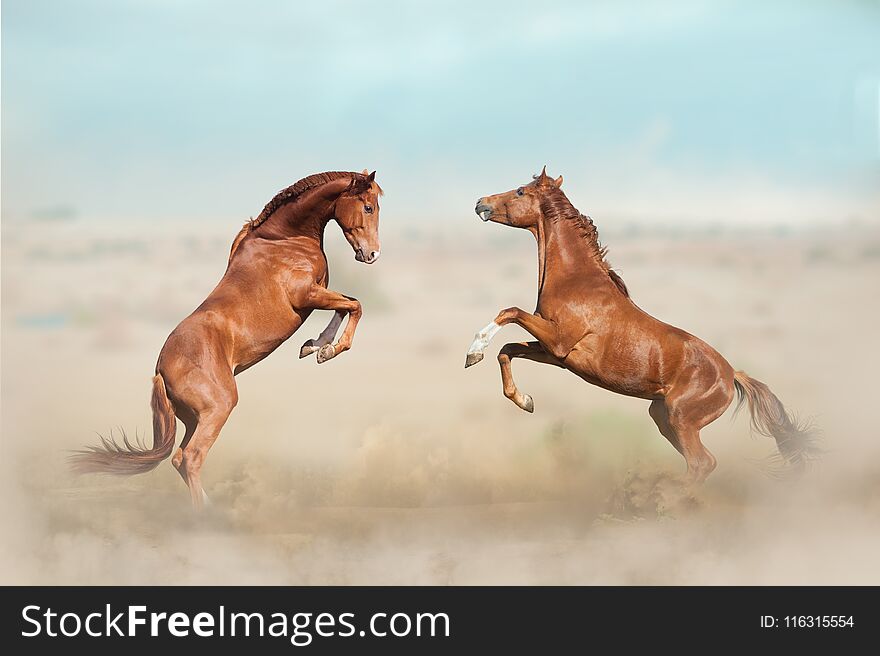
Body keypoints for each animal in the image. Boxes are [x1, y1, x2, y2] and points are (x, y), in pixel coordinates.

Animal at [69, 169, 382, 508]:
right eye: (368, 207)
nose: (372, 254)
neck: (285, 239)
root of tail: (160, 372)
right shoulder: (307, 295)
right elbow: (355, 305)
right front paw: (327, 349)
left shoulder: (319, 293)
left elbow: (347, 303)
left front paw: (314, 347)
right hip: (218, 409)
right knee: (191, 458)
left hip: (194, 420)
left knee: (179, 459)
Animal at [468, 168, 820, 482]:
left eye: (520, 191)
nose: (480, 202)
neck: (576, 280)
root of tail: (732, 374)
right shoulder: (555, 354)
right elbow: (507, 350)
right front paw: (524, 400)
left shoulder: (558, 340)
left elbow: (509, 312)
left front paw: (473, 350)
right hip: (662, 417)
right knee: (698, 463)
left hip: (680, 418)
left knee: (702, 463)